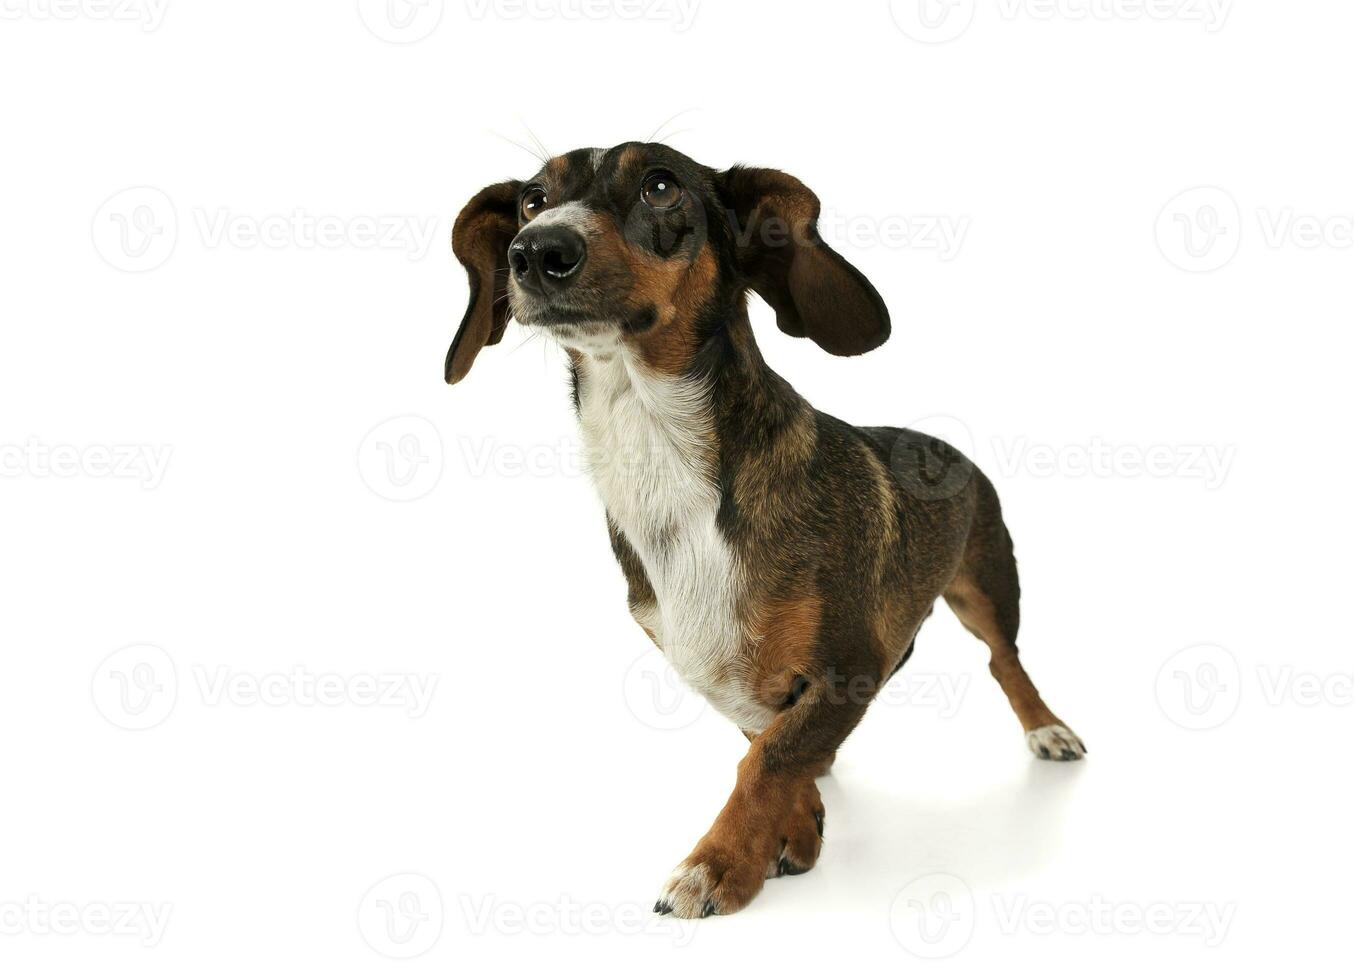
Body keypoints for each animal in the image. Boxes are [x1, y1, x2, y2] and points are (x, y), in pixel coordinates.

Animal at [449, 139, 1083, 920]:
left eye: (661, 186)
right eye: (533, 200)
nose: (537, 250)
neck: (655, 446)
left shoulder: (852, 663)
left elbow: (767, 759)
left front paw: (715, 866)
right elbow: (769, 744)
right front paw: (799, 827)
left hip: (988, 586)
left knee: (1005, 660)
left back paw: (1047, 727)